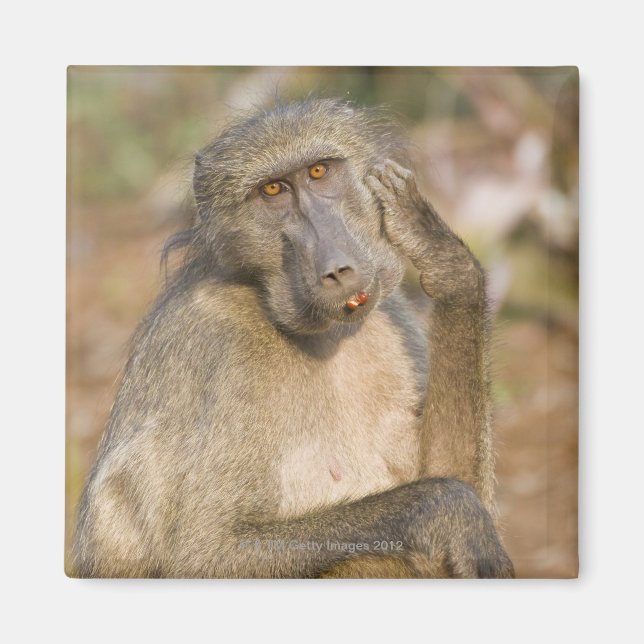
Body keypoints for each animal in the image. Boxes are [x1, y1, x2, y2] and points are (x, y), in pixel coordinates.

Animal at [72, 98, 514, 579]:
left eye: (319, 172)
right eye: (273, 191)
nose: (337, 269)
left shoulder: (392, 314)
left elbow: (455, 477)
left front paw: (438, 251)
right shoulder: (219, 341)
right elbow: (206, 552)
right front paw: (450, 510)